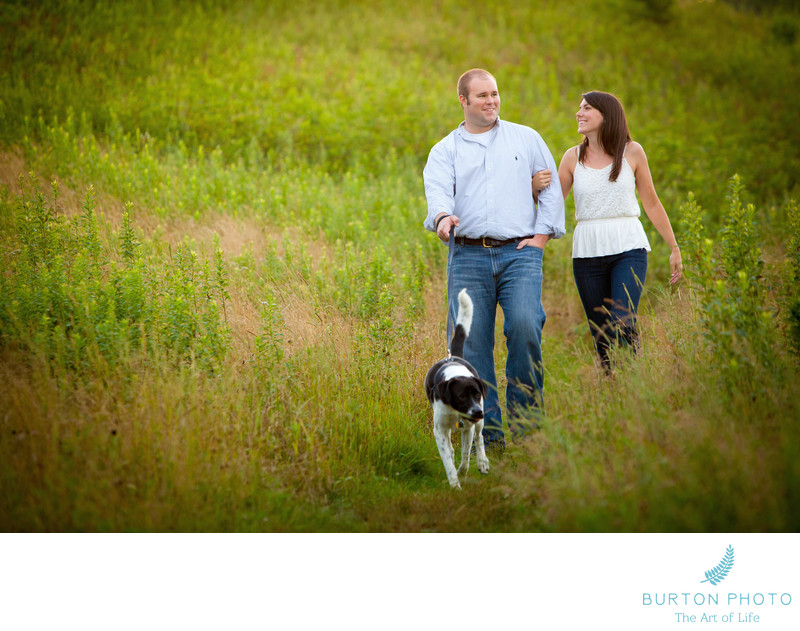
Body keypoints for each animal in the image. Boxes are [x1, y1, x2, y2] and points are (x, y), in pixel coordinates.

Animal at [422, 288, 490, 492]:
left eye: (477, 394)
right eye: (461, 395)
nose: (477, 412)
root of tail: (454, 357)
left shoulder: (468, 427)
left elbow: (466, 456)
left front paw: (462, 473)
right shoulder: (439, 430)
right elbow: (447, 459)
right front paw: (454, 483)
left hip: (479, 421)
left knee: (480, 436)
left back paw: (483, 462)